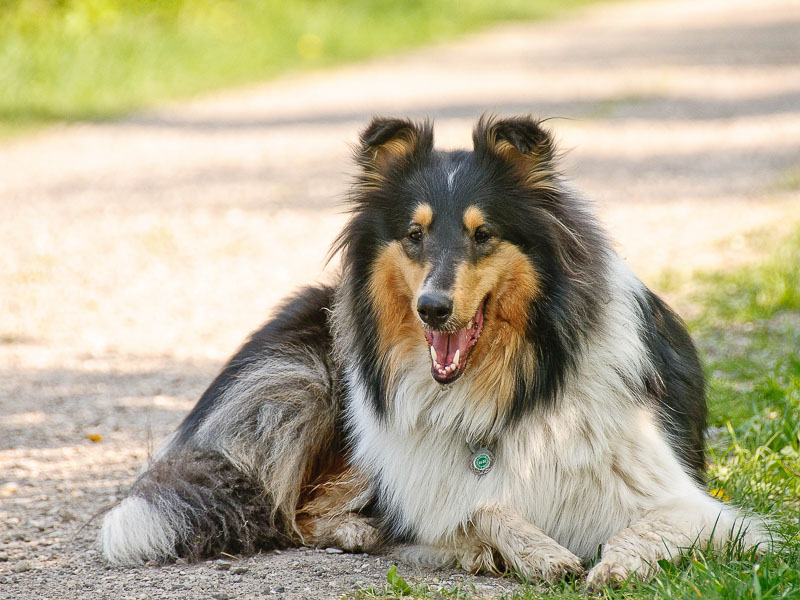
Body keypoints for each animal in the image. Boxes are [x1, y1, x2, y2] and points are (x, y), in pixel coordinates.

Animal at [101, 115, 768, 584]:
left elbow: (645, 531)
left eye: (483, 234)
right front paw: (534, 552)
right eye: (414, 234)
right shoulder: (426, 490)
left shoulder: (692, 505)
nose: (433, 308)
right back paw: (361, 531)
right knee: (295, 509)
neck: (502, 392)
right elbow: (480, 507)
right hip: (313, 384)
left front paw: (613, 568)